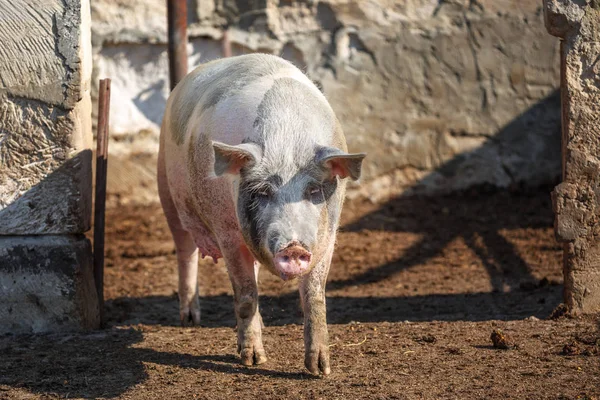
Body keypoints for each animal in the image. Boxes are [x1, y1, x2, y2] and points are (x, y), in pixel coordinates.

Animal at [157, 53, 366, 376]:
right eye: (263, 192)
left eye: (314, 190)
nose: (293, 246)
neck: (287, 137)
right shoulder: (227, 231)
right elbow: (245, 294)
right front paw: (253, 361)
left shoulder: (328, 237)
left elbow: (314, 296)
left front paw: (320, 370)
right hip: (166, 191)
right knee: (185, 251)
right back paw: (190, 320)